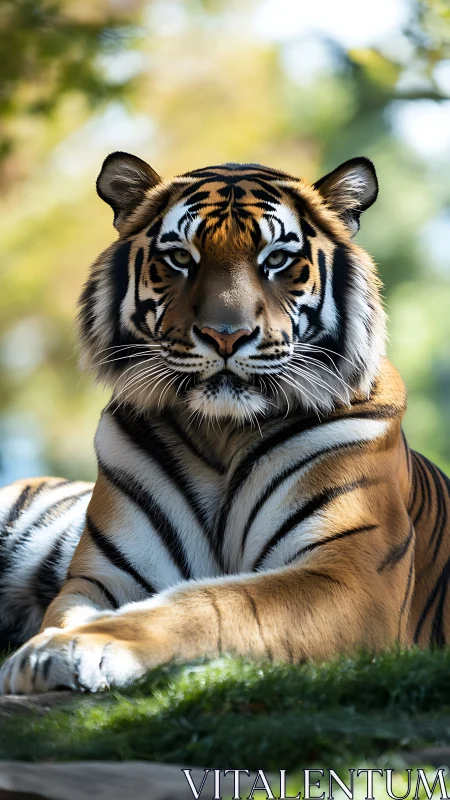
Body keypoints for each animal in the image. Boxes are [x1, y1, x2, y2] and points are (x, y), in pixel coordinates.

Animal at [0, 152, 449, 695]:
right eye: (180, 258)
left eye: (276, 260)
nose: (226, 335)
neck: (223, 433)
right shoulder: (101, 577)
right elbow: (71, 610)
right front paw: (53, 645)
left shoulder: (353, 575)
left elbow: (210, 601)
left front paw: (68, 648)